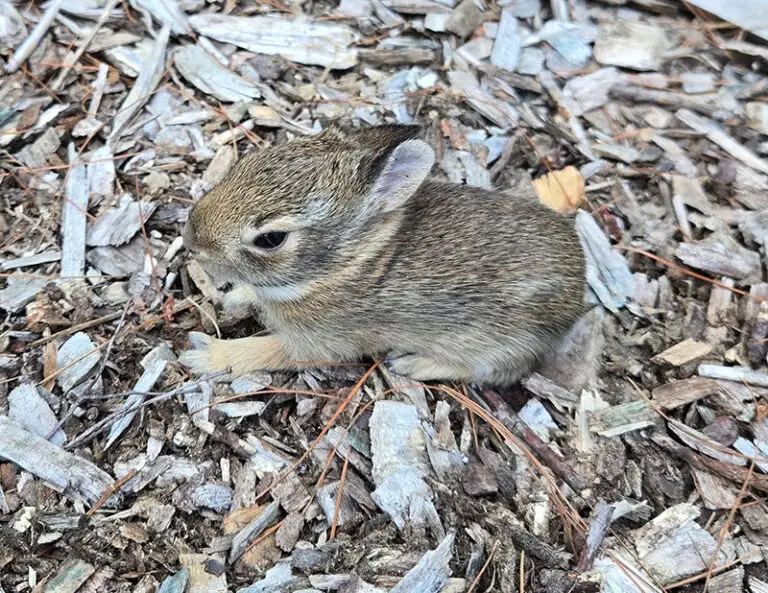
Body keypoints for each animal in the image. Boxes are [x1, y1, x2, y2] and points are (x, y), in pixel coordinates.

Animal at [179, 124, 588, 385]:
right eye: (245, 164)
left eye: (271, 239)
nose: (191, 239)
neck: (341, 266)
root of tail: (579, 287)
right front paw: (235, 295)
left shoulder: (322, 341)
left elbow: (265, 352)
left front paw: (205, 355)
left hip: (498, 345)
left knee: (494, 373)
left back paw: (414, 365)